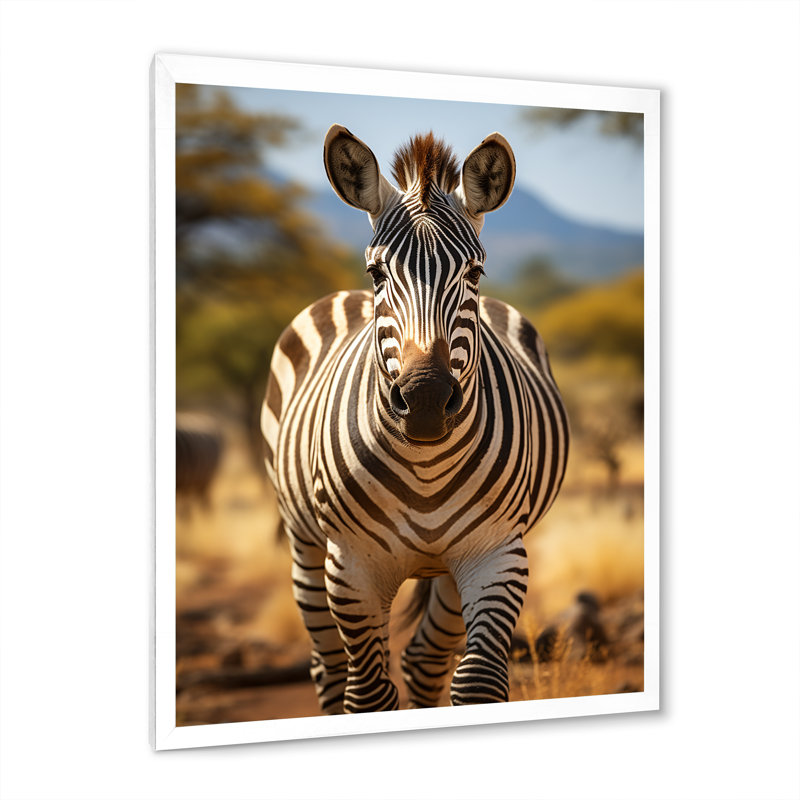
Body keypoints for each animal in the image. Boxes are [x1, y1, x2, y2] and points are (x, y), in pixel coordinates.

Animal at [261, 126, 569, 714]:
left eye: (475, 271)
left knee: (424, 660)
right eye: (376, 271)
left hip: (449, 569)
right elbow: (368, 694)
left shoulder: (498, 554)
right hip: (305, 547)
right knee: (331, 669)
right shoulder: (351, 566)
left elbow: (476, 684)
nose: (425, 400)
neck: (425, 465)